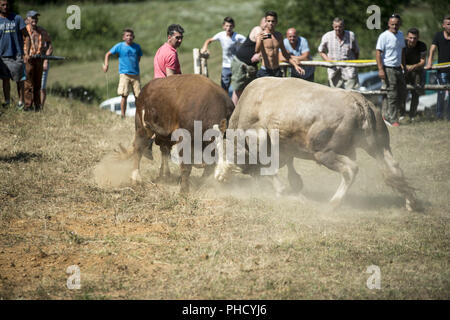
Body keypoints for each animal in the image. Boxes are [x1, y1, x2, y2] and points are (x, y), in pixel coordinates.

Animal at [214, 77, 418, 211]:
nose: (219, 178)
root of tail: (358, 101)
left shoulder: (259, 138)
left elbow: (268, 168)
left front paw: (280, 191)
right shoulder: (285, 147)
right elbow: (290, 170)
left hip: (324, 153)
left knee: (350, 169)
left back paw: (334, 203)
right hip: (379, 146)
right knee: (394, 169)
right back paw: (411, 202)